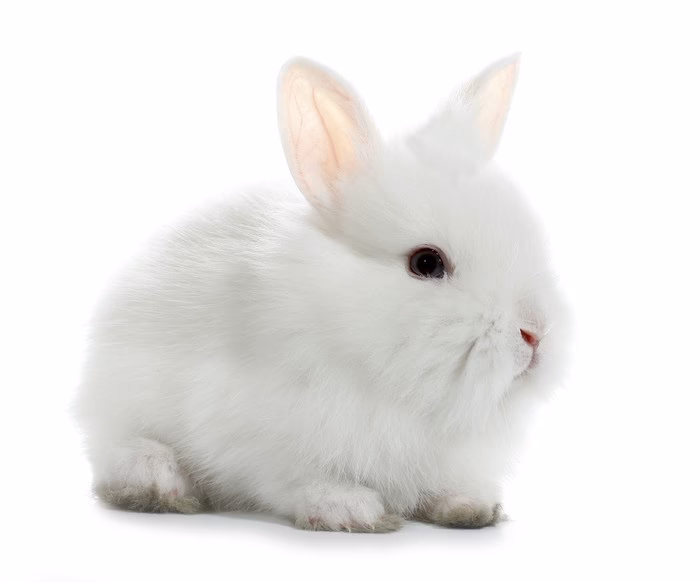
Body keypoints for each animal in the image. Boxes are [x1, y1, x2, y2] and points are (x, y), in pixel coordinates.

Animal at [75, 55, 570, 533]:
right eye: (427, 263)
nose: (535, 333)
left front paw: (472, 508)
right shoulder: (261, 441)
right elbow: (301, 481)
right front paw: (349, 510)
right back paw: (159, 483)